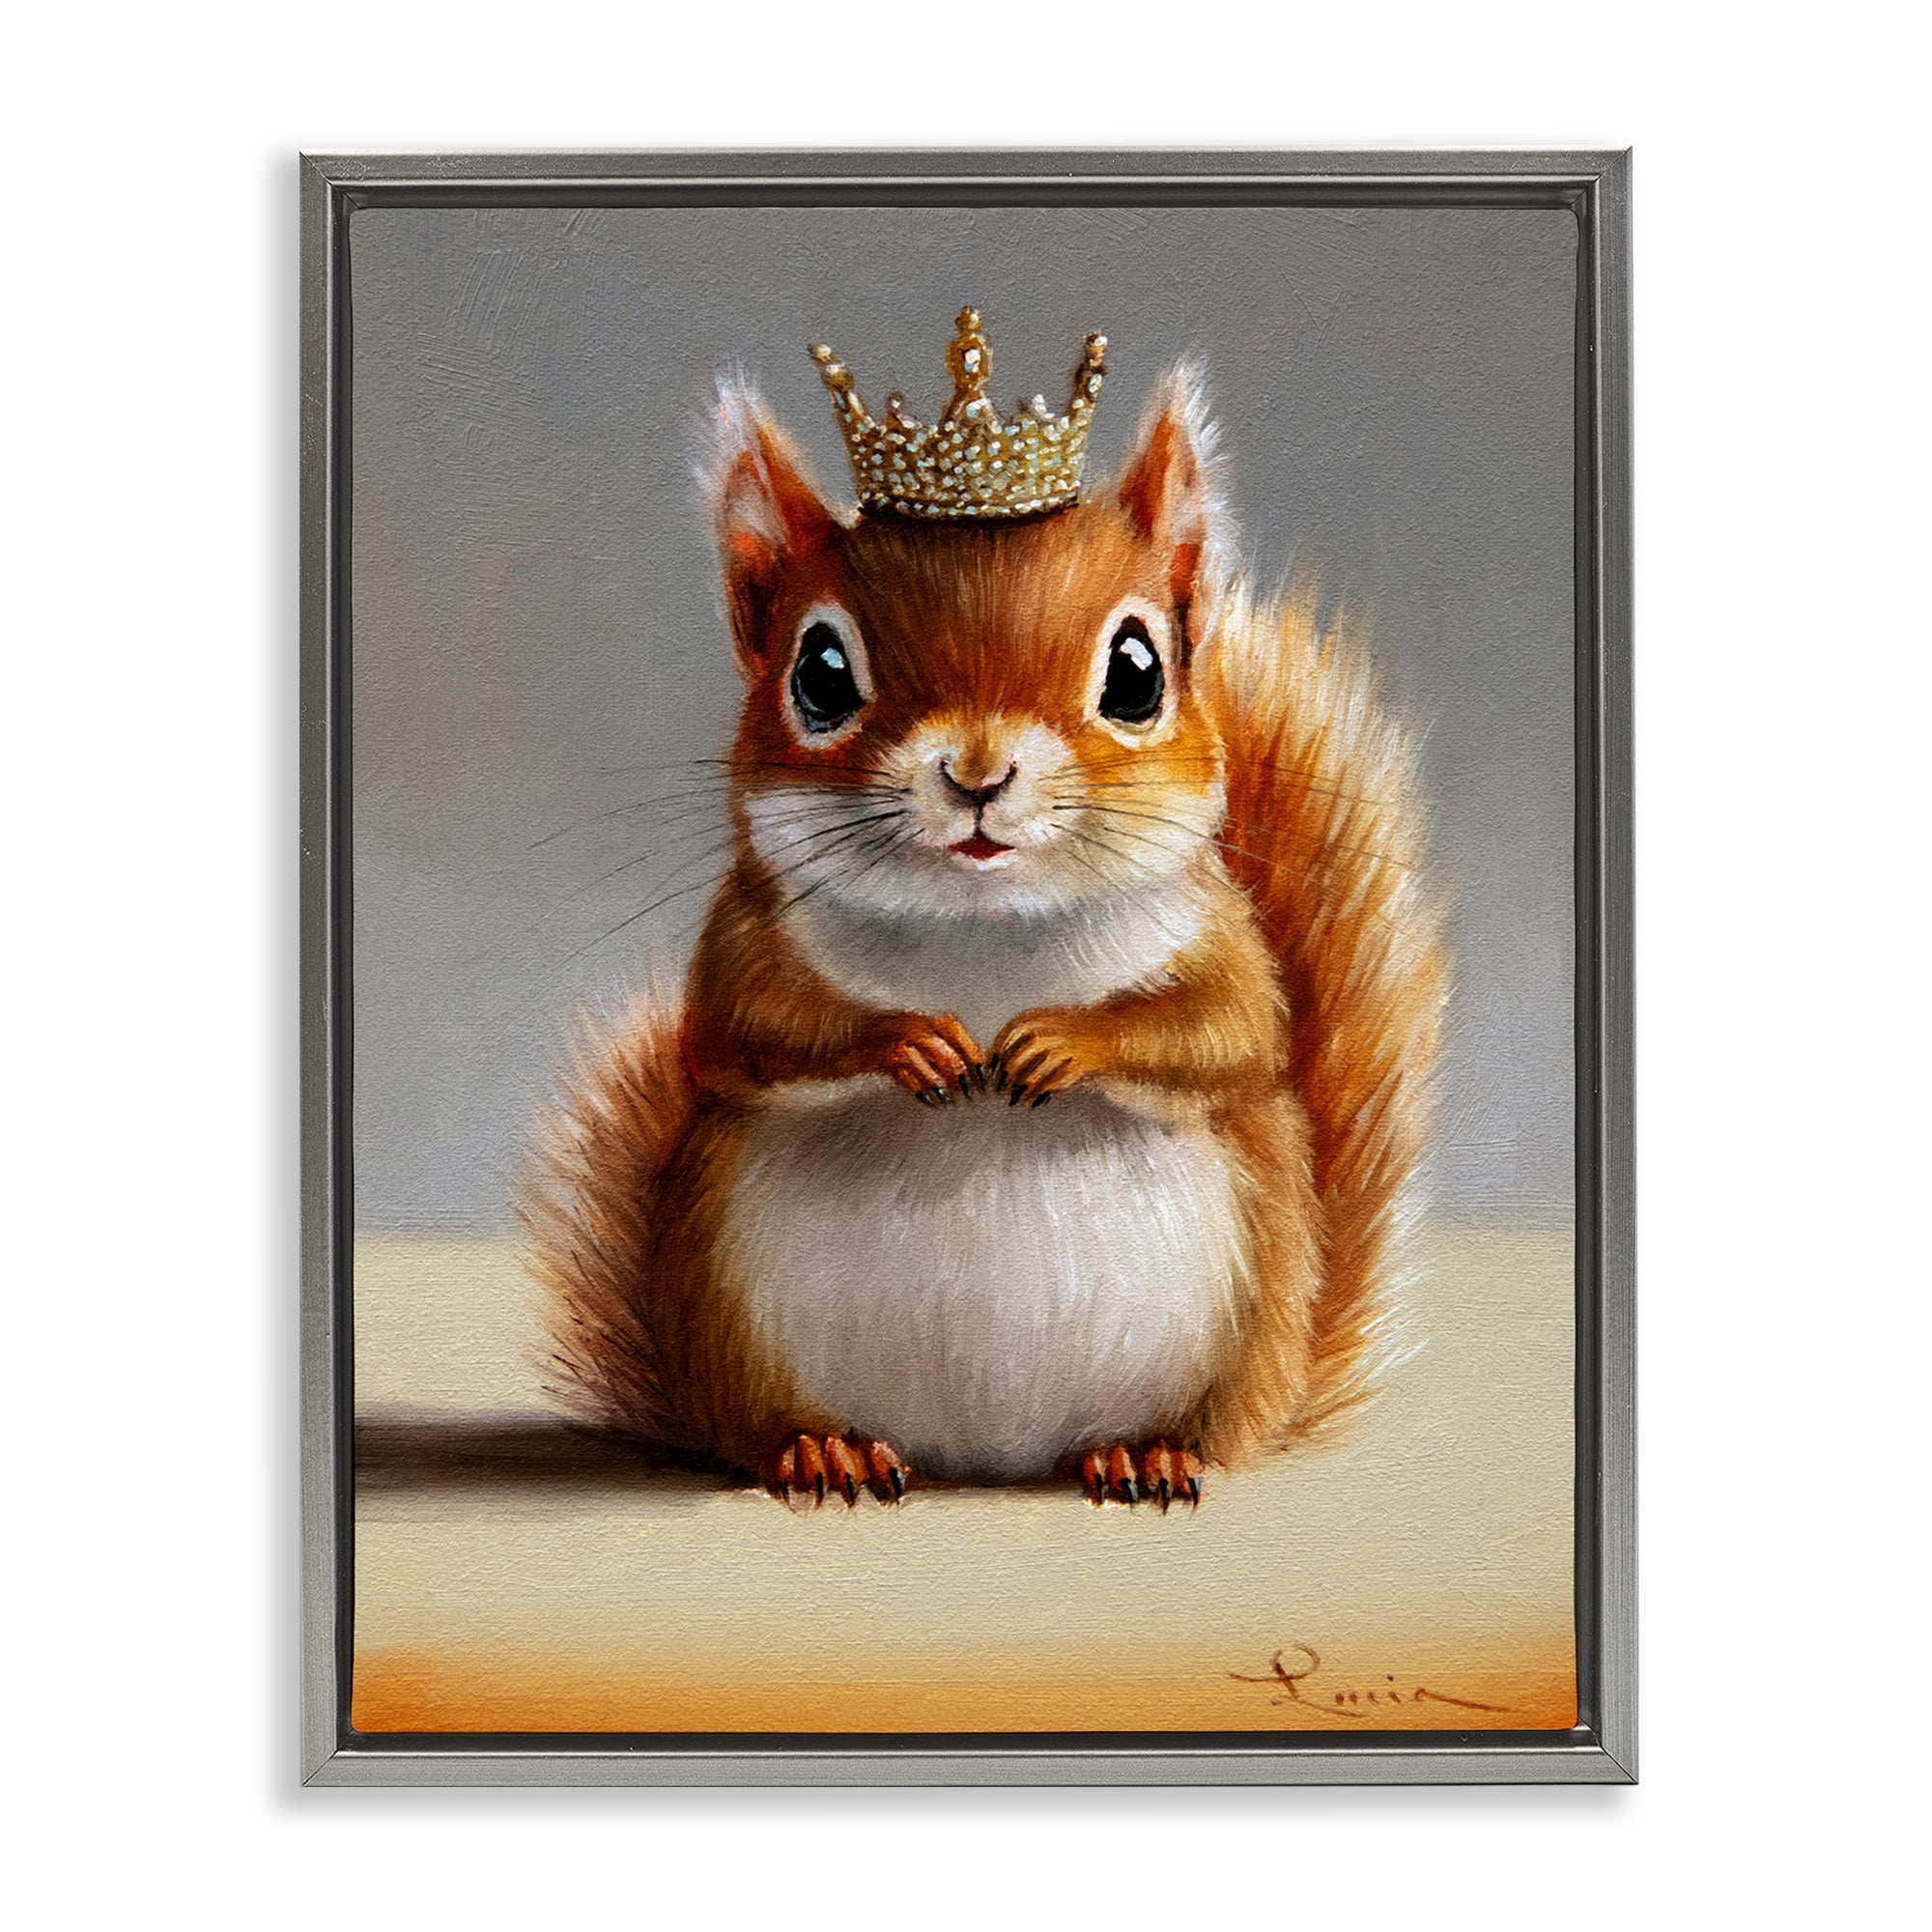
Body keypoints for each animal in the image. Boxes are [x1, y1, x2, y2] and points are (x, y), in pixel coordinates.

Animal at [525, 311, 1443, 1510]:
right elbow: (744, 1027)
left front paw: (1061, 1041)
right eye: (818, 672)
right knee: (768, 1425)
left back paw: (1148, 1451)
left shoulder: (1221, 938)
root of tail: (985, 1456)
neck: (984, 931)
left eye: (1138, 671)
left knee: (1203, 1427)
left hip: (1244, 1323)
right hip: (728, 1314)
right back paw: (820, 1447)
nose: (976, 772)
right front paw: (908, 1039)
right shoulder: (743, 937)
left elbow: (1228, 1029)